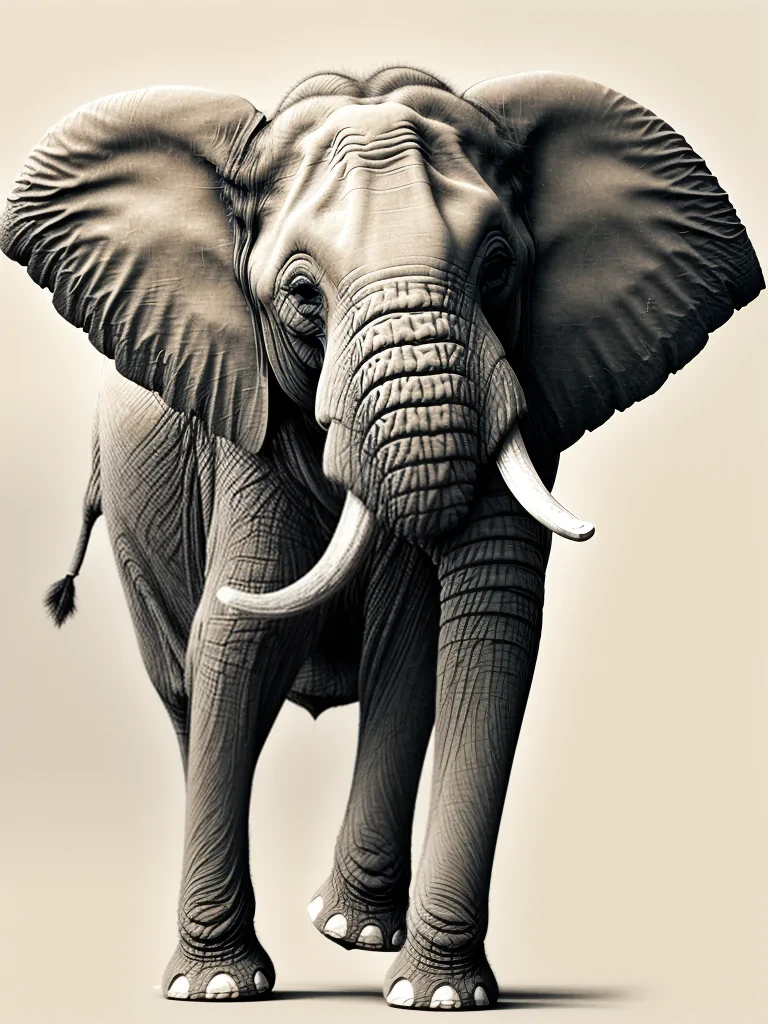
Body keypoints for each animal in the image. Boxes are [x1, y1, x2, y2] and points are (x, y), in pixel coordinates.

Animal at [0, 65, 762, 1010]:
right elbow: (241, 638)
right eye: (300, 297)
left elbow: (422, 638)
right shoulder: (245, 413)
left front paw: (415, 983)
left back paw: (346, 929)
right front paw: (220, 987)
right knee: (182, 685)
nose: (453, 991)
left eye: (500, 269)